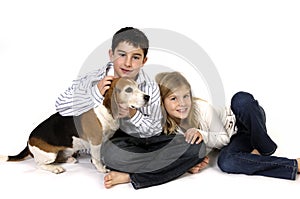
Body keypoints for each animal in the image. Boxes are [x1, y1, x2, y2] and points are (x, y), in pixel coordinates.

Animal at [0, 77, 150, 174]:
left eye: (138, 87)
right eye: (128, 90)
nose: (147, 97)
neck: (105, 111)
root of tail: (28, 141)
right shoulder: (96, 141)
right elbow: (96, 158)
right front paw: (101, 168)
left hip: (68, 149)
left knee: (59, 158)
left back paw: (69, 159)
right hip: (49, 154)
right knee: (40, 164)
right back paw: (55, 168)